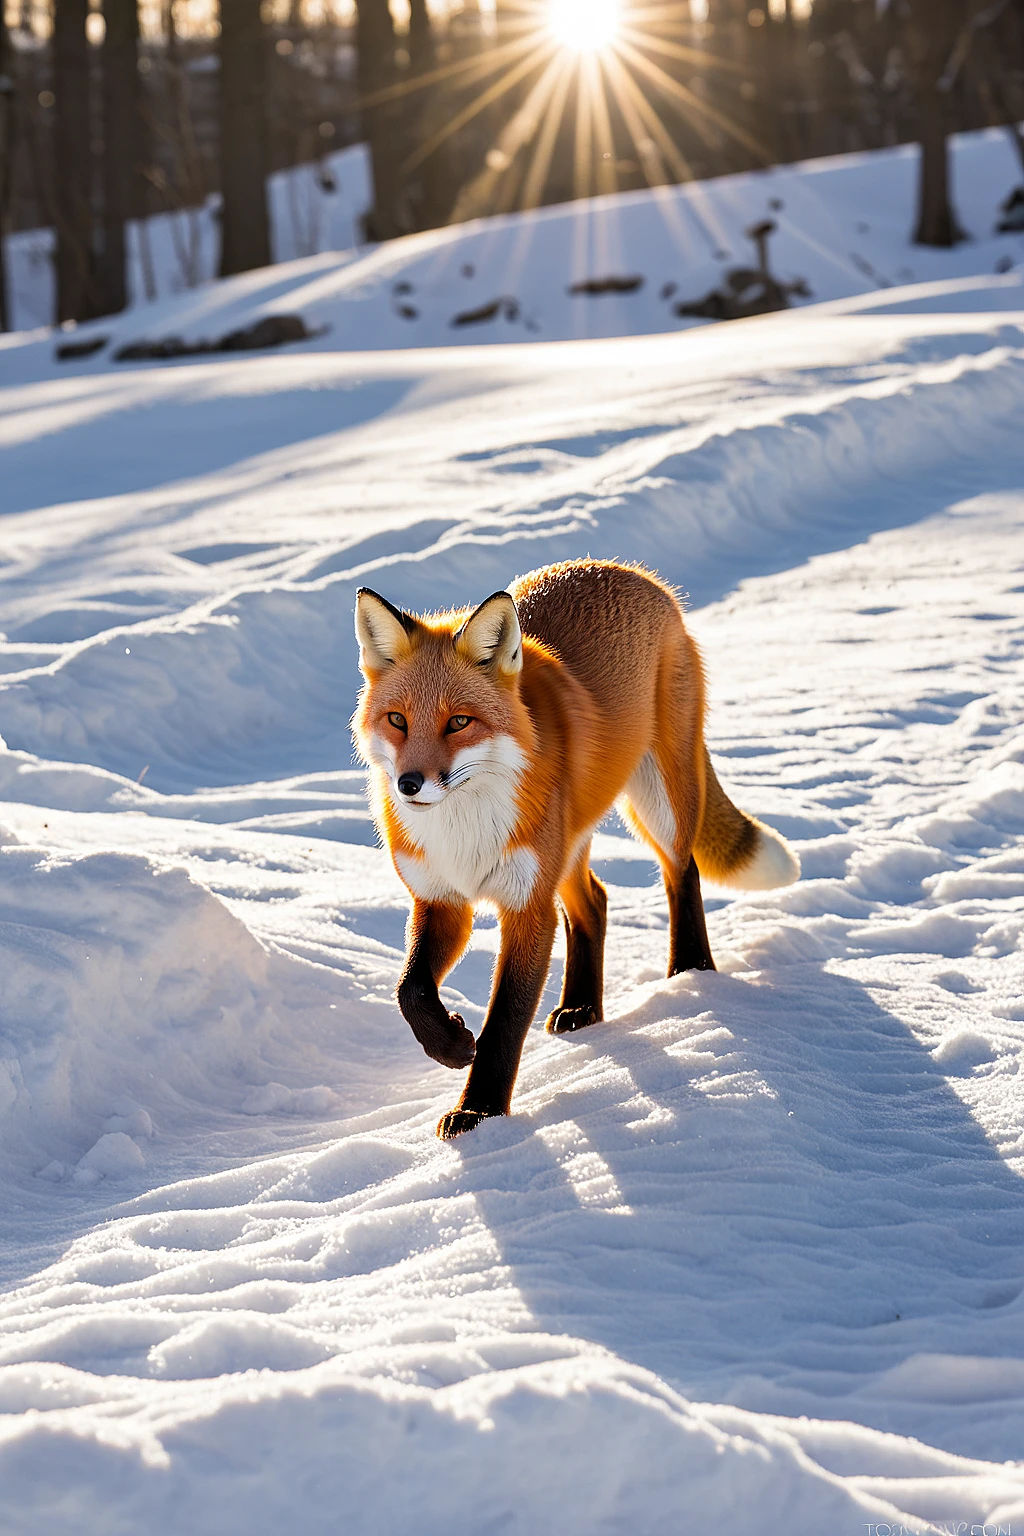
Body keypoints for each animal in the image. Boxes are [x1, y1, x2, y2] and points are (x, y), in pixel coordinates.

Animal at [353, 559, 799, 1139]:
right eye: (398, 720)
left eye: (458, 722)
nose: (409, 785)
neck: (464, 830)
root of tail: (633, 572)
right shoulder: (441, 899)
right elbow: (411, 991)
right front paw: (449, 1046)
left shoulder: (527, 906)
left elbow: (504, 1022)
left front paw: (480, 1111)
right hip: (565, 852)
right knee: (596, 902)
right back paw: (583, 1006)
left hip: (658, 805)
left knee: (682, 873)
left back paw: (689, 975)